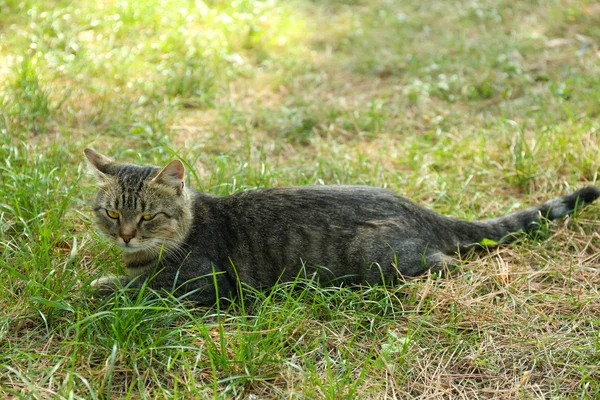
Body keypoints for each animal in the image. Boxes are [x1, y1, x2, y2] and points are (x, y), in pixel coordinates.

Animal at [84, 148, 600, 304]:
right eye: (111, 213)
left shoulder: (203, 282)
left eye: (147, 216)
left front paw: (103, 285)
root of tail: (418, 208)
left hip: (381, 259)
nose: (126, 234)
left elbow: (143, 289)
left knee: (447, 264)